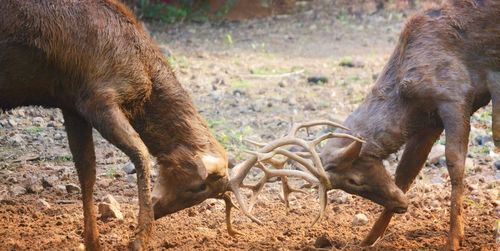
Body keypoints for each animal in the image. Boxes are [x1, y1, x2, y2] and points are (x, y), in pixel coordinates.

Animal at [0, 0, 229, 250]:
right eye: (198, 186)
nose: (157, 211)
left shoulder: (71, 104)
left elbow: (87, 170)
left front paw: (93, 243)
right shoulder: (96, 96)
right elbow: (140, 152)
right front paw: (139, 238)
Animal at [320, 0, 500, 250]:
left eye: (352, 181)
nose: (401, 205)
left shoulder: (456, 95)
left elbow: (455, 163)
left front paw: (455, 238)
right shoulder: (429, 121)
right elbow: (406, 171)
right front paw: (368, 239)